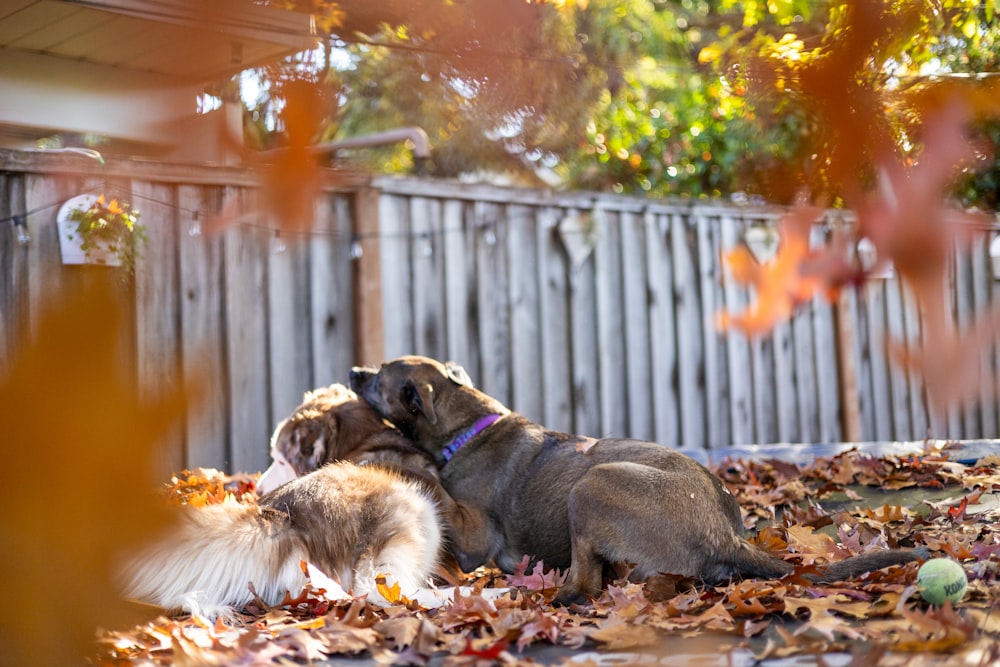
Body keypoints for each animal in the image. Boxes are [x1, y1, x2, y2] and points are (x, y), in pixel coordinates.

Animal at [350, 358, 920, 604]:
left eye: (380, 376)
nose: (353, 370)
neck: (467, 424)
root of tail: (726, 535)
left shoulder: (473, 537)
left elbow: (433, 487)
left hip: (593, 483)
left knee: (585, 586)